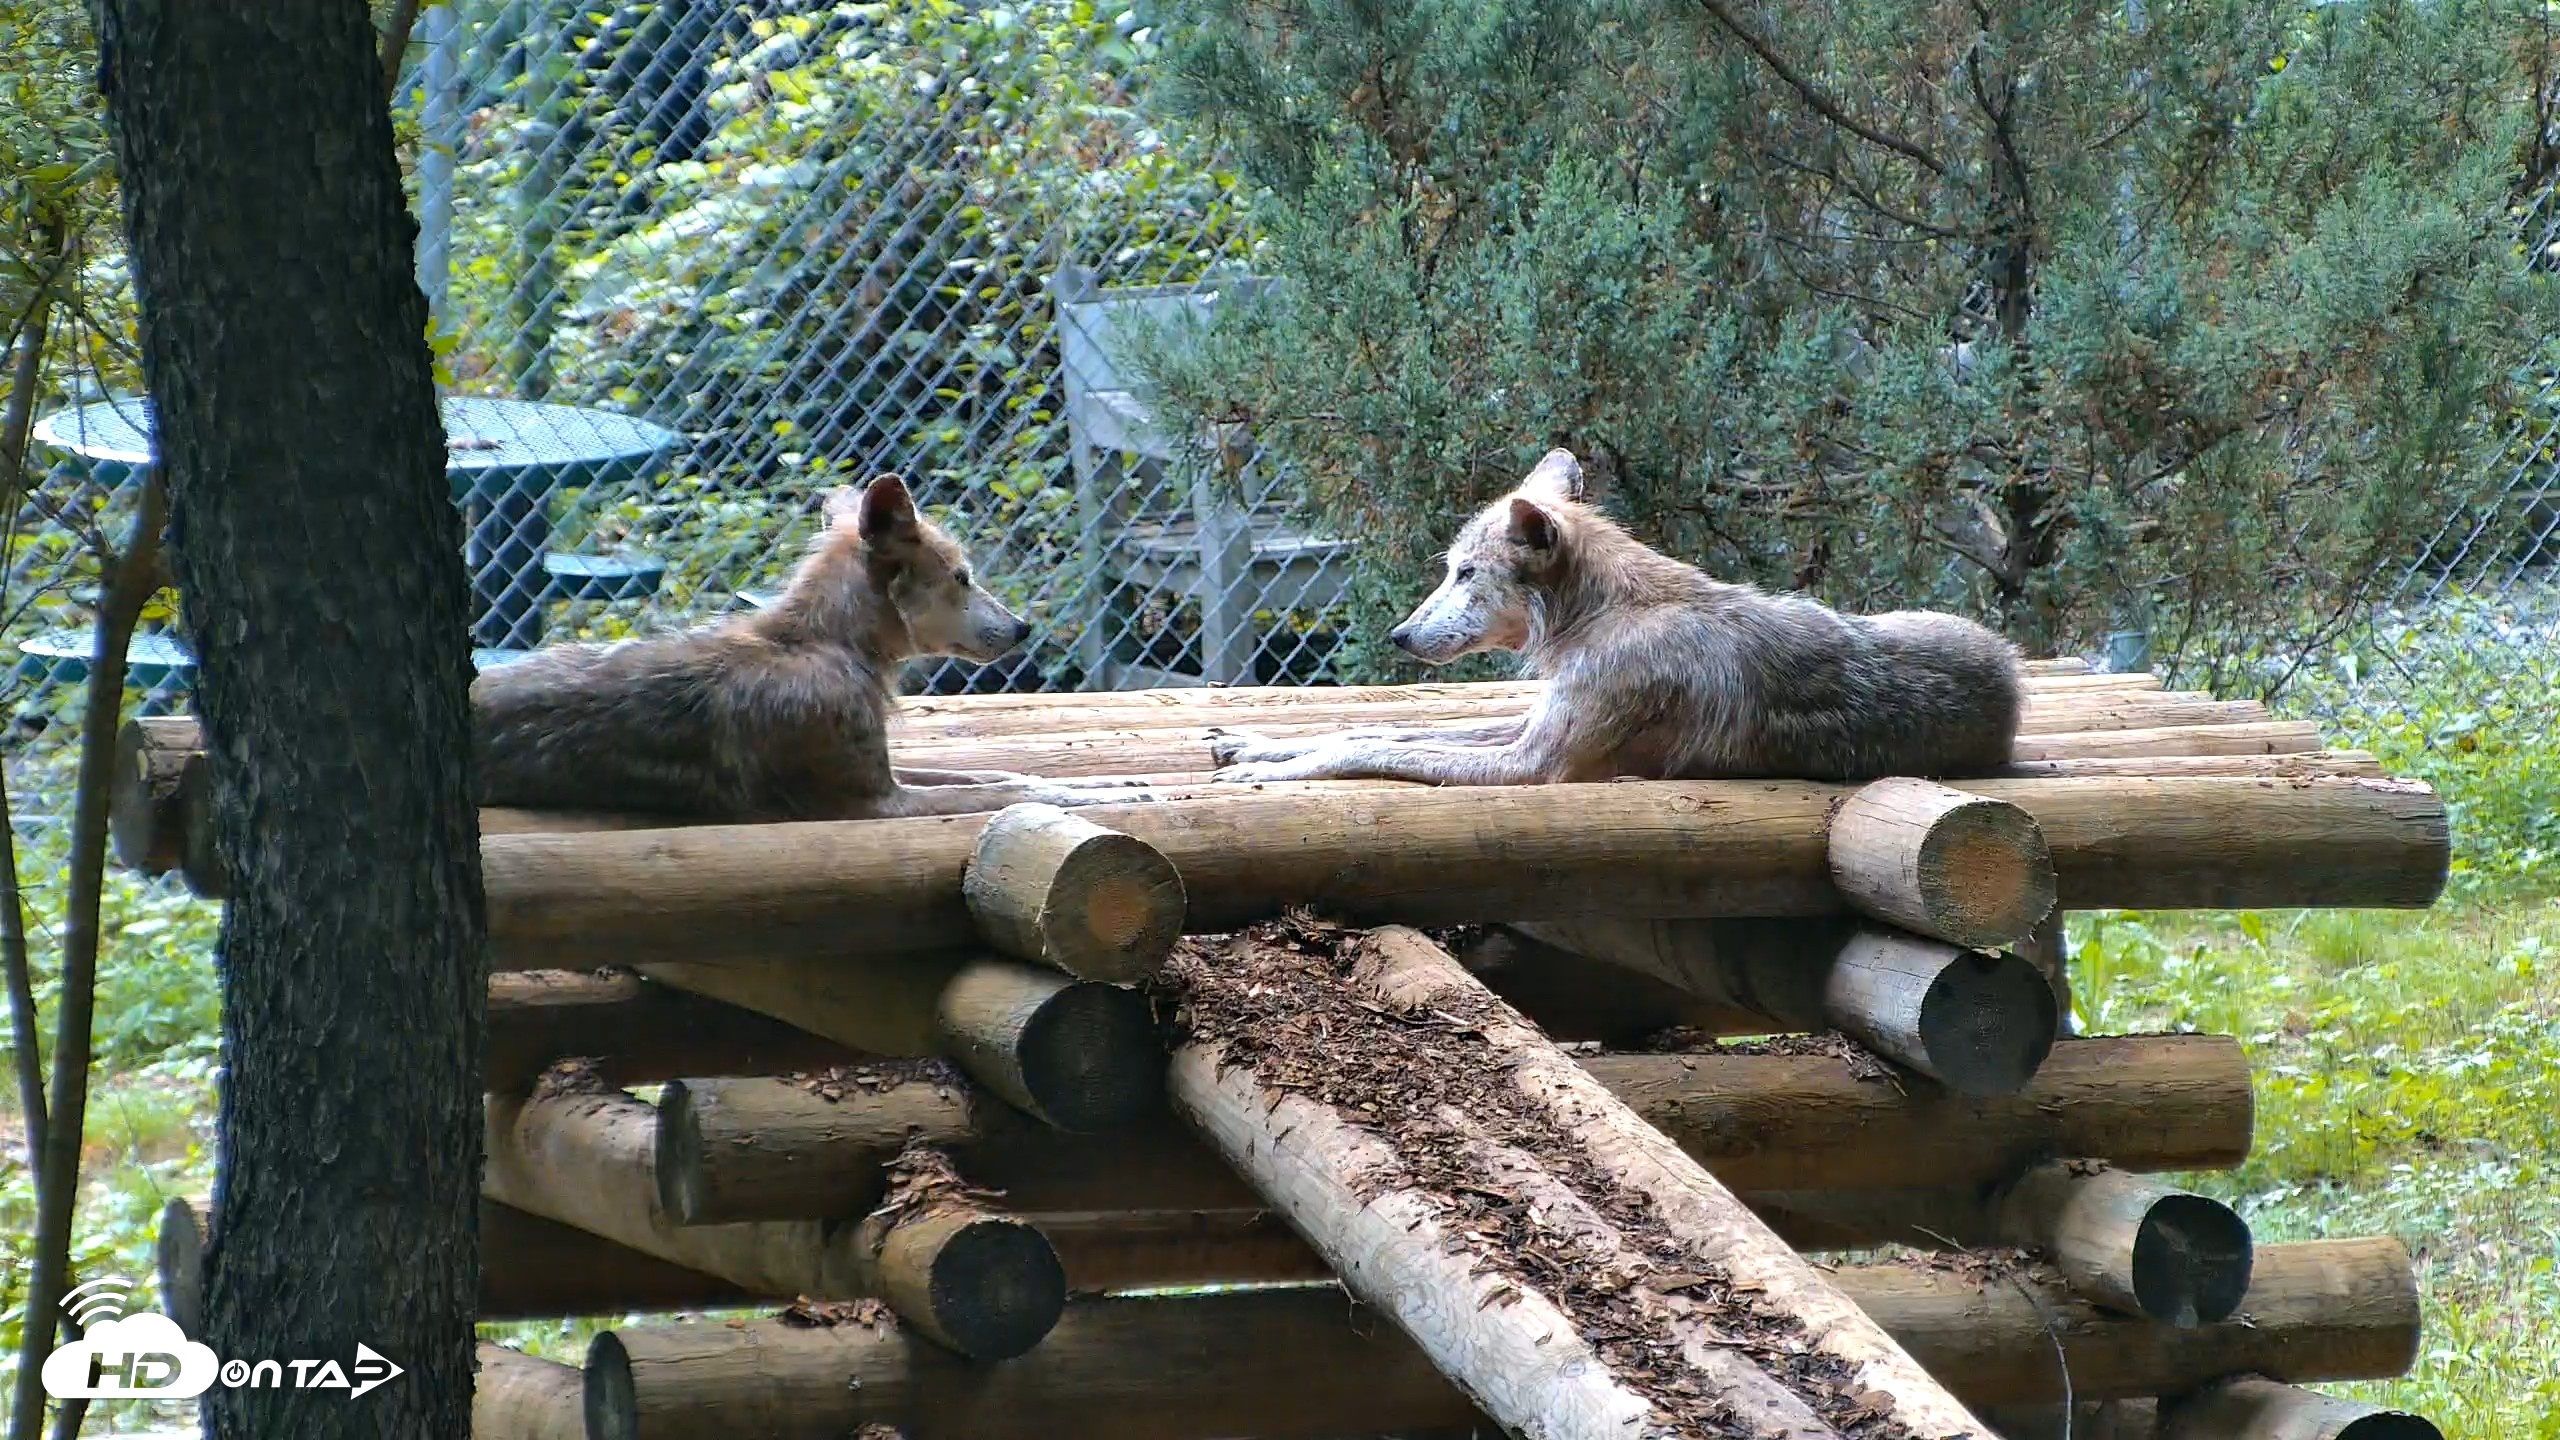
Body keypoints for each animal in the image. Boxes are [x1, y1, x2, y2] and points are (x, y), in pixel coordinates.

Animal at [474, 474, 1147, 821]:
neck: (825, 644)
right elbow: (1012, 791)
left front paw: (1119, 784)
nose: (1024, 629)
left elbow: (1003, 772)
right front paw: (1105, 793)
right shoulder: (876, 802)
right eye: (963, 577)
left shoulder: (890, 772)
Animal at [1209, 449, 2023, 787]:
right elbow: (1378, 728)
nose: (1399, 636)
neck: (1606, 614)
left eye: (1465, 573)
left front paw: (1270, 771)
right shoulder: (1526, 723)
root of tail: (2014, 677)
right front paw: (1253, 745)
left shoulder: (1534, 764)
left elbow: (1375, 749)